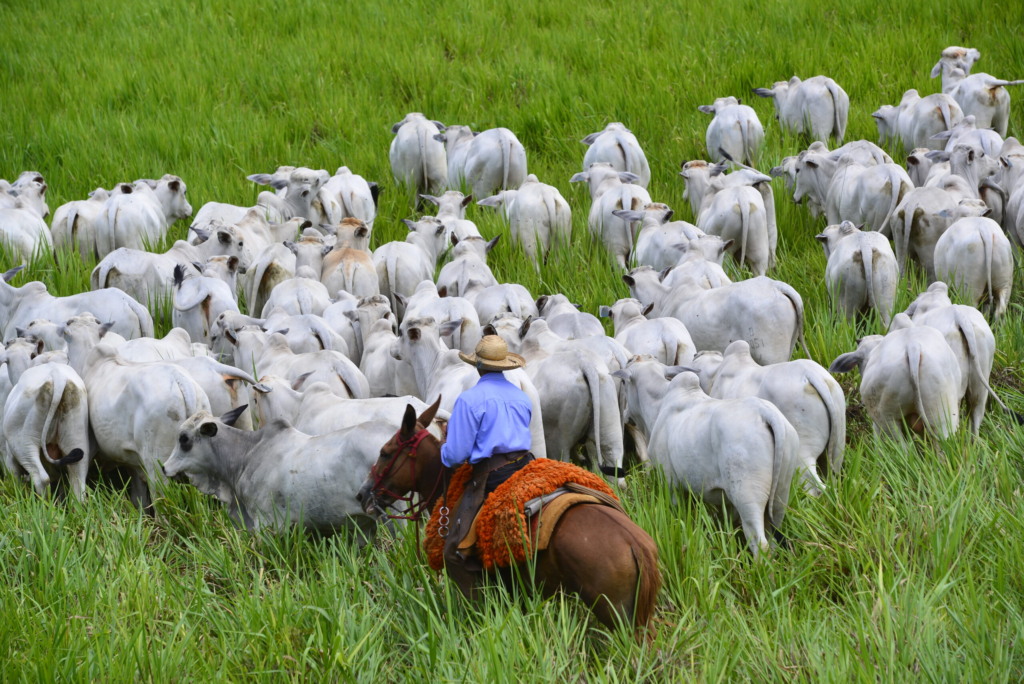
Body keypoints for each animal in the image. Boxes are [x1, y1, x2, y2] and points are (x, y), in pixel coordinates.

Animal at [610, 356, 802, 557]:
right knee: (772, 538)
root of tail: (765, 413)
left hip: (747, 496)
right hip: (780, 495)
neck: (659, 404)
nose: (625, 415)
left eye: (624, 382)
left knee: (760, 543)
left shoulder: (670, 483)